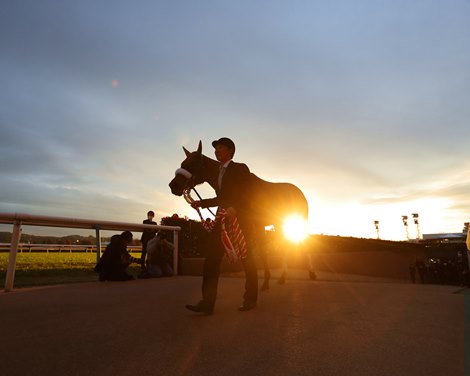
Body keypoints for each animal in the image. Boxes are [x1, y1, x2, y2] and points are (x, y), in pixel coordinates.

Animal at [169, 140, 316, 290]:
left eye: (192, 164)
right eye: (182, 163)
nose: (173, 185)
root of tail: (299, 192)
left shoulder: (252, 224)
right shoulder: (257, 225)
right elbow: (262, 251)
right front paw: (265, 281)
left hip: (299, 220)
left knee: (304, 242)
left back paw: (310, 273)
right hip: (279, 223)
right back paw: (283, 276)